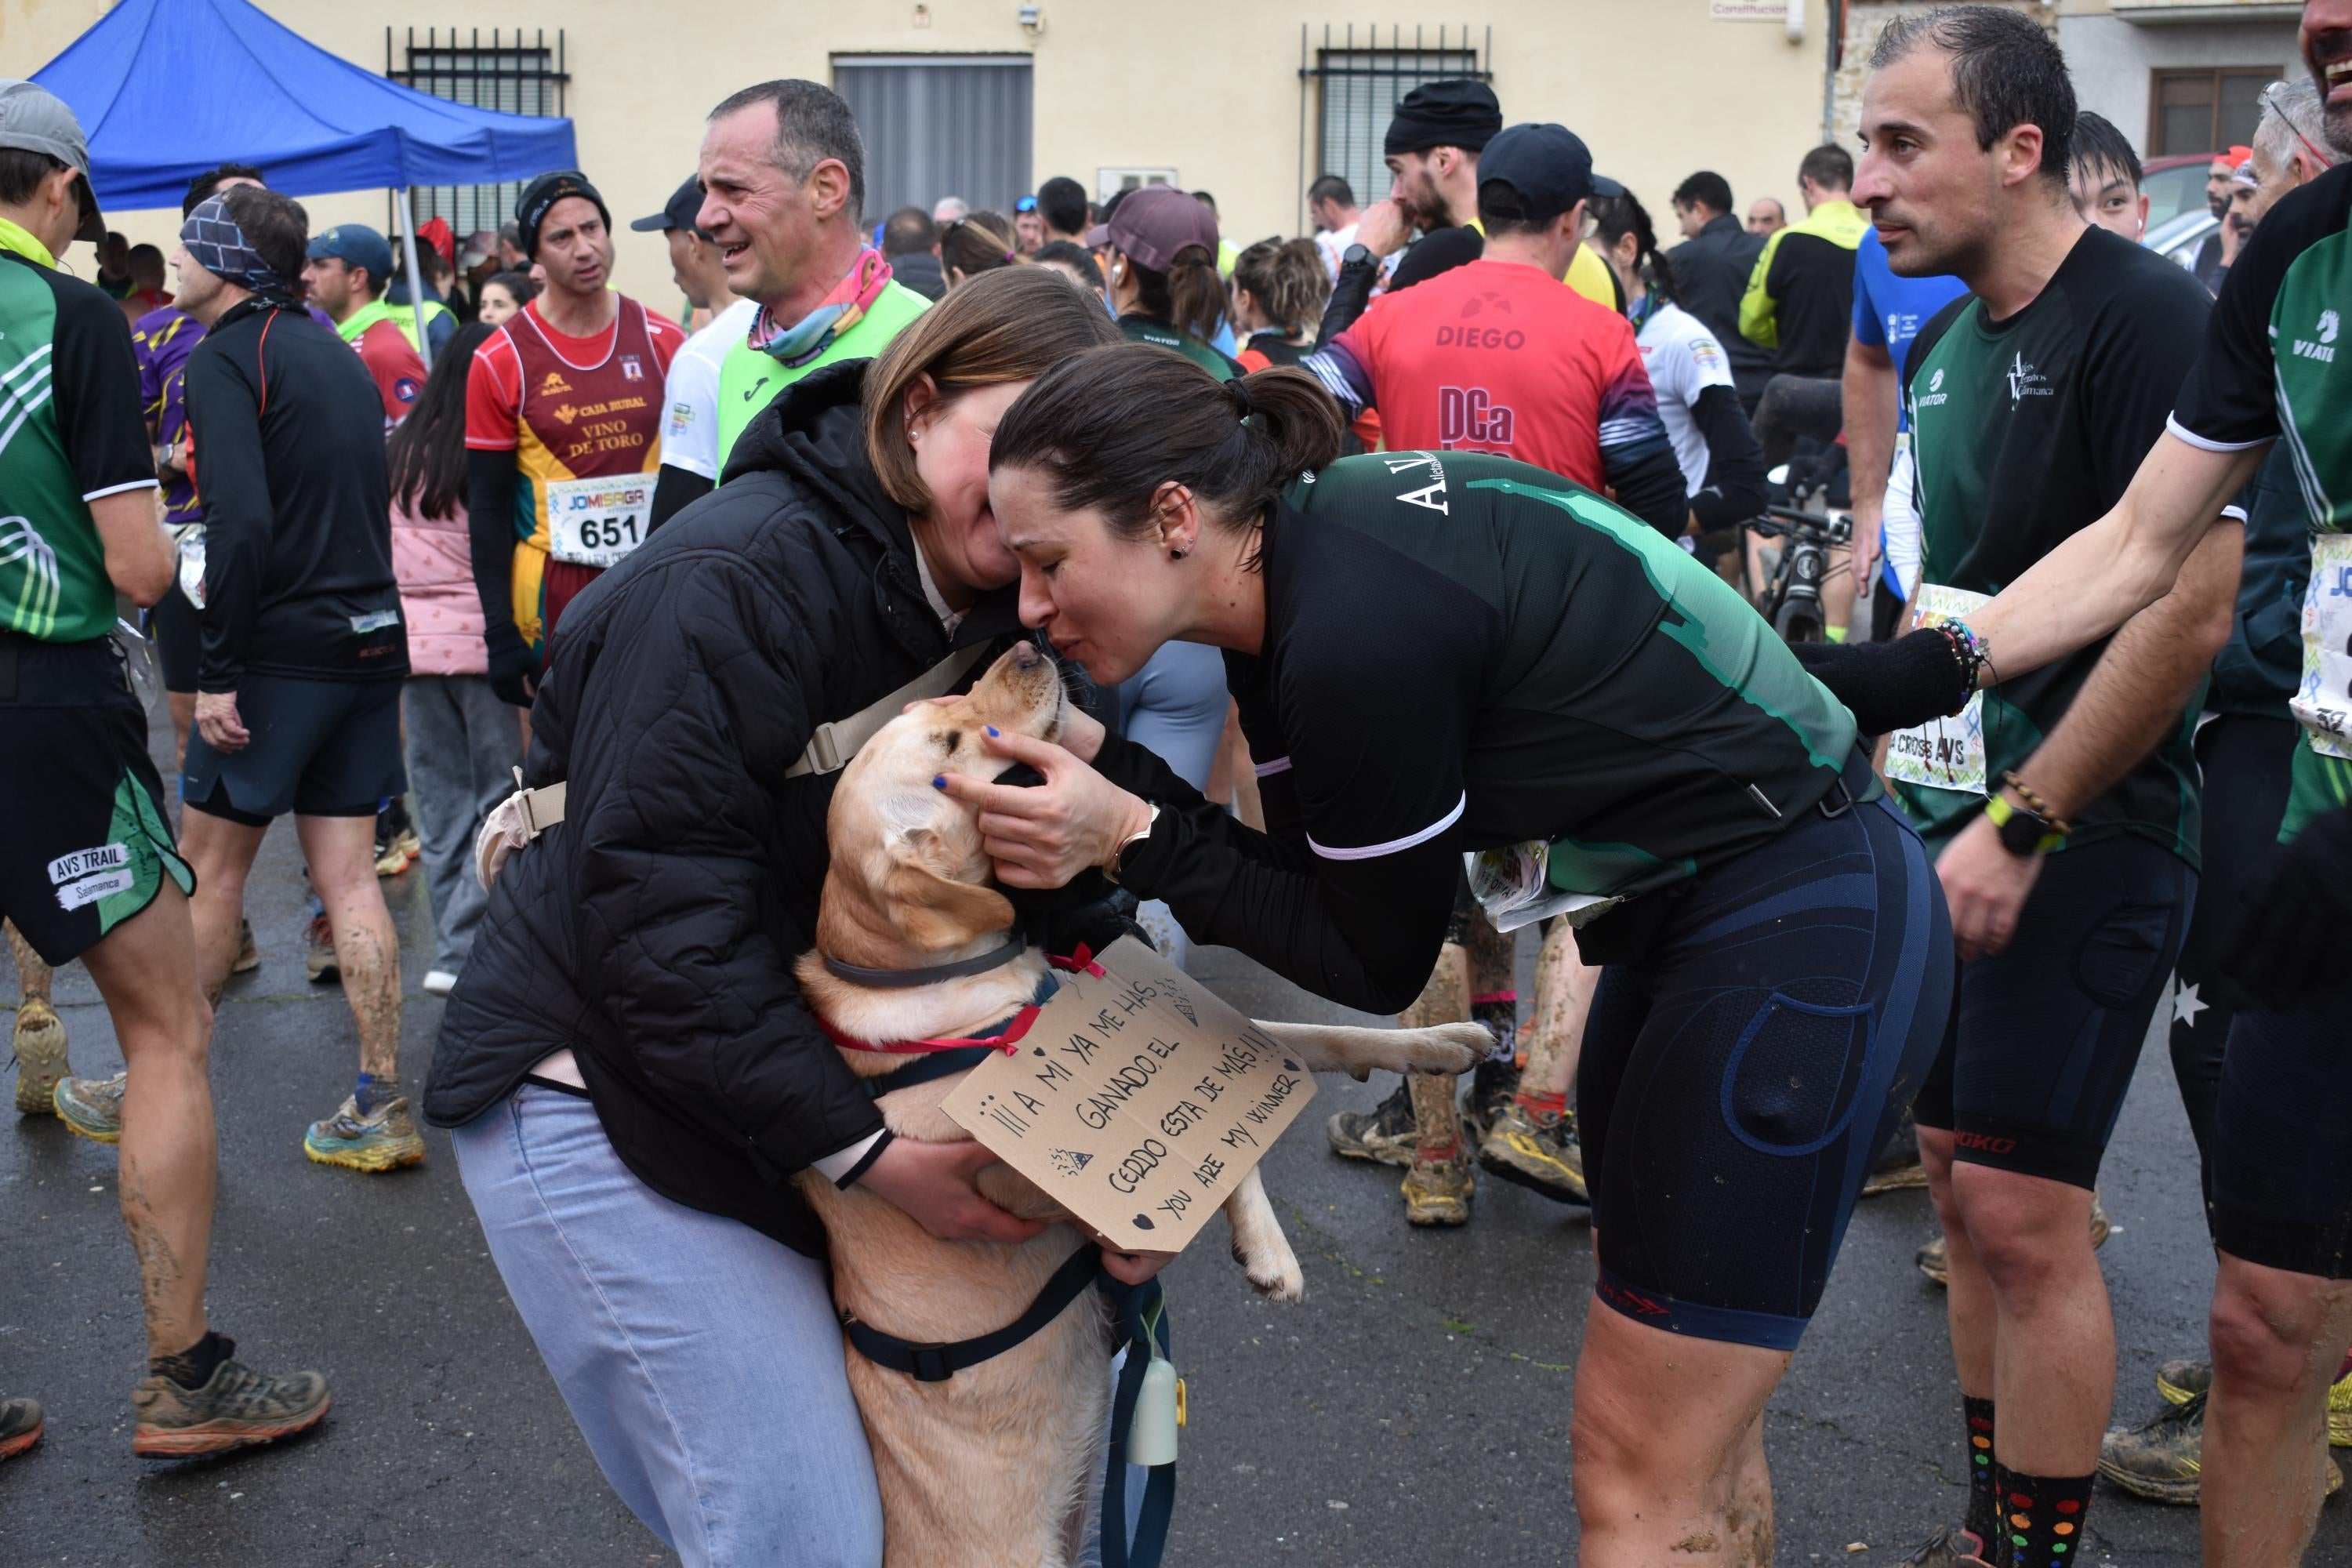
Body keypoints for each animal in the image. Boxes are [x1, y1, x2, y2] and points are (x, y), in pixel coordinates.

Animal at [800, 644, 1477, 1561]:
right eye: (949, 742)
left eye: (940, 706)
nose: (1026, 644)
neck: (945, 974)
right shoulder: (1010, 1174)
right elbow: (1220, 1164)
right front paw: (1271, 1254)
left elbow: (1317, 1035)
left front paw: (1443, 1043)